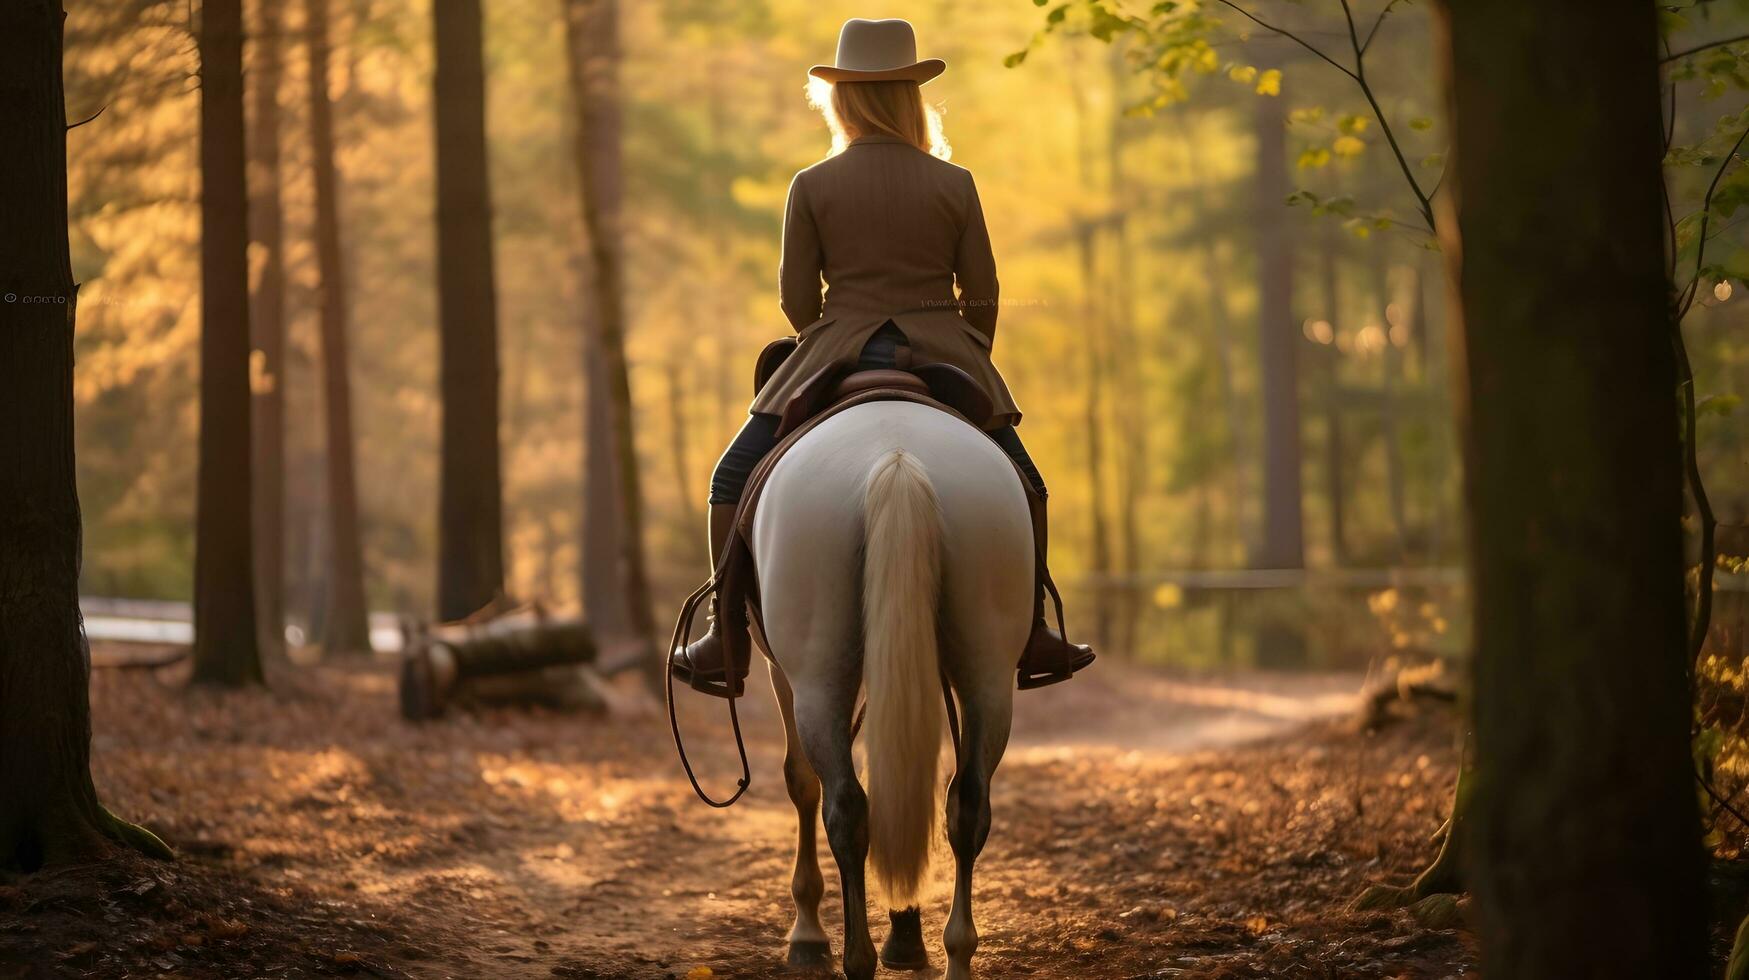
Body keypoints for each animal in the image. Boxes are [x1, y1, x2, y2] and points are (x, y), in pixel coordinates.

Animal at [745, 400, 1028, 980]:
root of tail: (896, 462)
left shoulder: (781, 673)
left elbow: (801, 782)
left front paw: (809, 932)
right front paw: (907, 934)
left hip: (815, 677)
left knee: (845, 808)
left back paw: (856, 957)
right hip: (990, 672)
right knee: (966, 803)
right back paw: (957, 956)